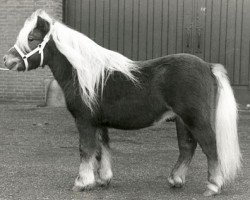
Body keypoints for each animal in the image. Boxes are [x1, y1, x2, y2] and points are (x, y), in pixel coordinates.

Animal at [2, 10, 241, 196]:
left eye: (32, 39)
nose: (7, 60)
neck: (85, 74)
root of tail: (208, 66)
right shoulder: (98, 122)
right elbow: (101, 149)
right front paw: (103, 179)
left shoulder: (84, 121)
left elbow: (86, 149)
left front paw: (82, 182)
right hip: (182, 120)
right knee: (187, 147)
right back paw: (176, 180)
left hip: (195, 118)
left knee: (210, 146)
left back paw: (212, 186)